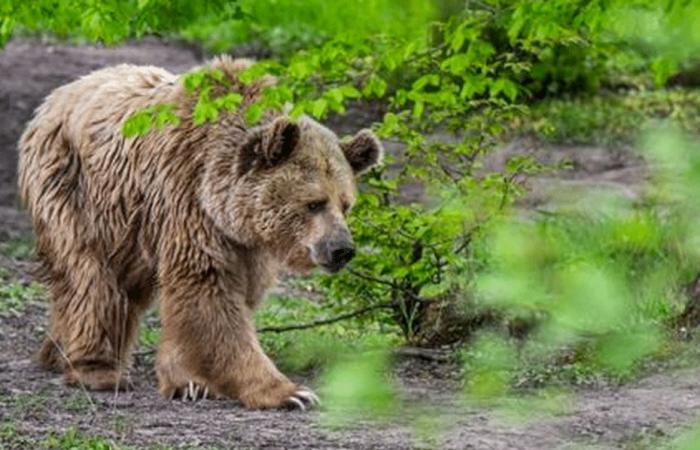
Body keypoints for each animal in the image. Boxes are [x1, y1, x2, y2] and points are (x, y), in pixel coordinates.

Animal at [17, 55, 382, 408]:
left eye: (346, 204)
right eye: (314, 203)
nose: (341, 249)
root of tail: (56, 97)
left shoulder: (245, 244)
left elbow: (226, 300)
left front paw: (188, 381)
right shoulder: (189, 203)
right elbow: (210, 295)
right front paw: (290, 392)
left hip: (127, 223)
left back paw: (55, 352)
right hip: (74, 188)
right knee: (92, 278)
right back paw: (97, 369)